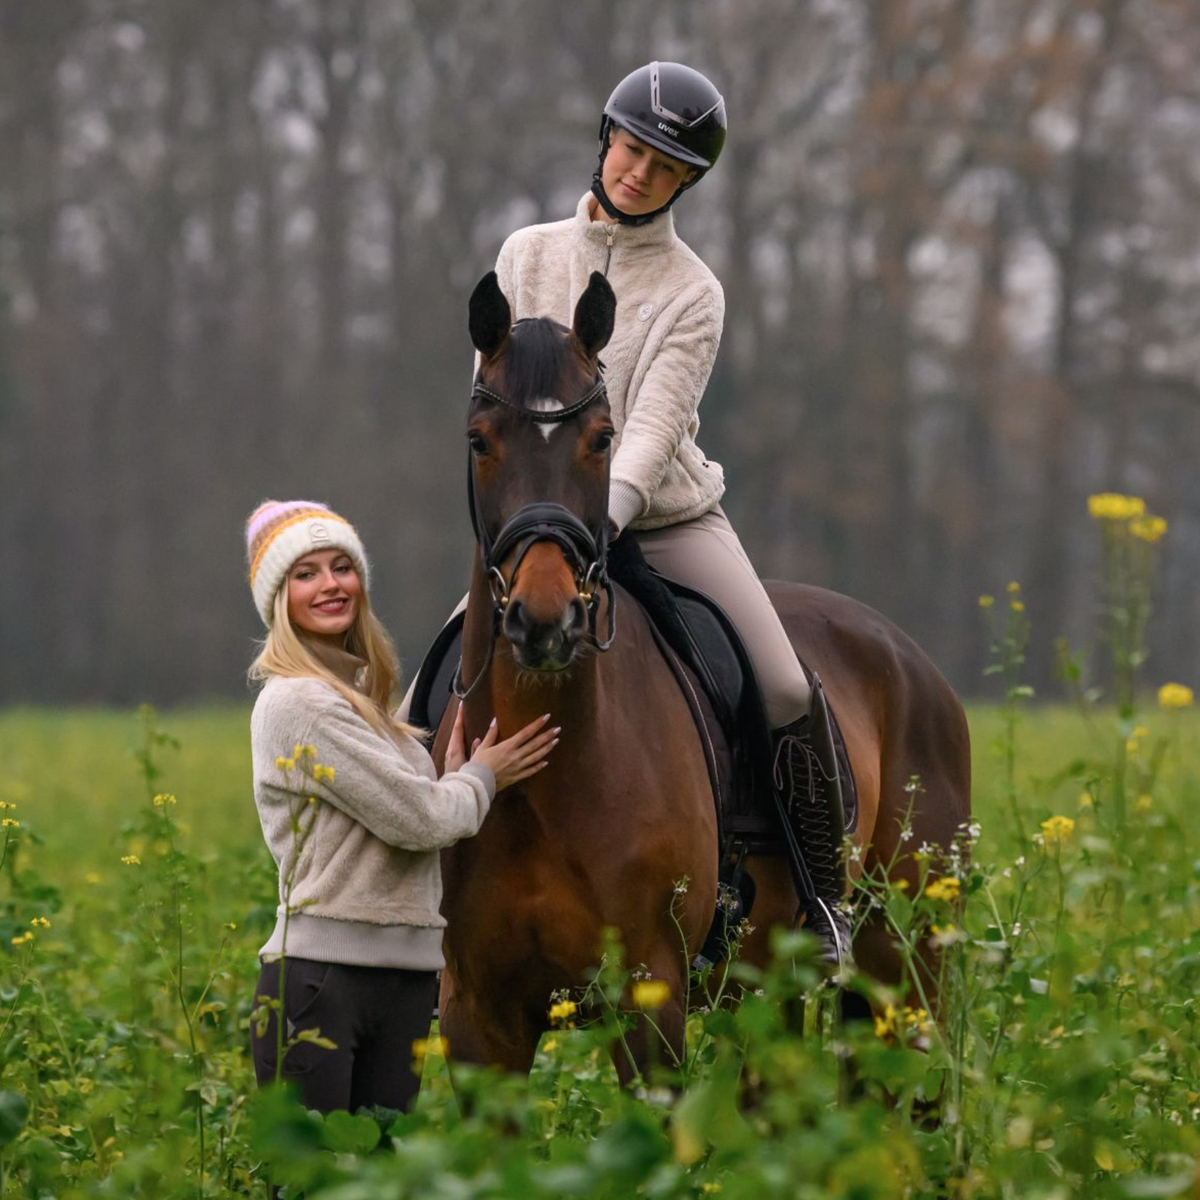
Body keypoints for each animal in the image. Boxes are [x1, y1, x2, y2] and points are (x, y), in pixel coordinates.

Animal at [431, 269, 972, 1079]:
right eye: (479, 440)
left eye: (603, 439)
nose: (545, 620)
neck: (544, 771)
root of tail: (914, 660)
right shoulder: (479, 1017)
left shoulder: (648, 999)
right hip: (771, 1000)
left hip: (906, 967)